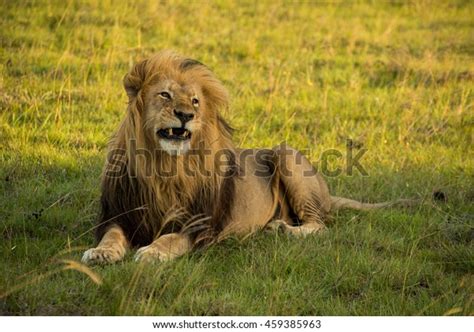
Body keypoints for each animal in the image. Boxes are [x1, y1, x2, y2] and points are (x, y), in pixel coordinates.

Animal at [80, 51, 412, 264]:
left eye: (195, 101)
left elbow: (171, 238)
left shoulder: (201, 225)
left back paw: (282, 229)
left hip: (286, 155)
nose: (186, 115)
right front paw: (100, 253)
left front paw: (152, 252)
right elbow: (111, 236)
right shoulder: (118, 214)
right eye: (165, 95)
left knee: (320, 225)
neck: (164, 166)